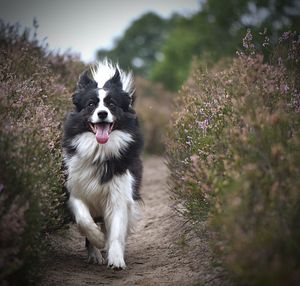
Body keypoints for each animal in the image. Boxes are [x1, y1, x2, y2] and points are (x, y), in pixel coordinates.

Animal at [61, 59, 143, 270]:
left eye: (112, 104)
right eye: (91, 104)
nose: (103, 113)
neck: (100, 150)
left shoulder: (119, 195)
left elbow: (116, 230)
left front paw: (115, 258)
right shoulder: (76, 191)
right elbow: (84, 220)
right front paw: (97, 240)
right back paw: (95, 253)